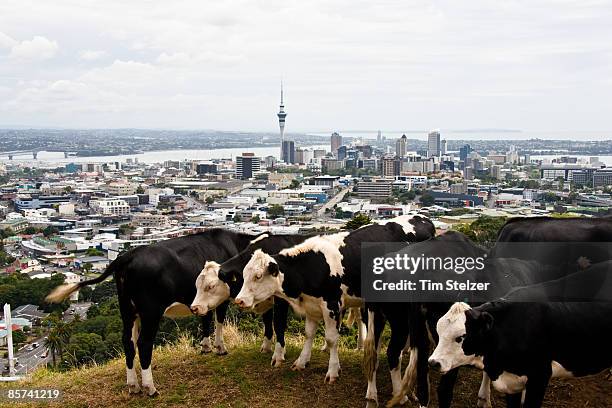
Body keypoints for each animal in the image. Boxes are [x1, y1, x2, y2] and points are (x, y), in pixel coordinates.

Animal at [46, 230, 255, 396]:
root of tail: (126, 256)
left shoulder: (205, 299)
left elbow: (206, 319)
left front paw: (205, 347)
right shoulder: (223, 296)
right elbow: (219, 321)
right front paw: (220, 348)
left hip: (128, 309)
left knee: (128, 342)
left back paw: (133, 386)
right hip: (151, 311)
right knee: (144, 343)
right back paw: (150, 388)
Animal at [190, 233, 316, 366]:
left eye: (211, 286)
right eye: (197, 285)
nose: (194, 308)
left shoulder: (281, 301)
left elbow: (278, 324)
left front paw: (278, 354)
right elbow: (267, 321)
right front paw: (266, 347)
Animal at [234, 215, 436, 384]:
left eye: (258, 276)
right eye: (244, 274)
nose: (239, 300)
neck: (313, 265)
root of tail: (423, 218)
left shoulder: (331, 306)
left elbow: (331, 339)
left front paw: (332, 371)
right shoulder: (312, 305)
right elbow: (309, 334)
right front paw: (301, 361)